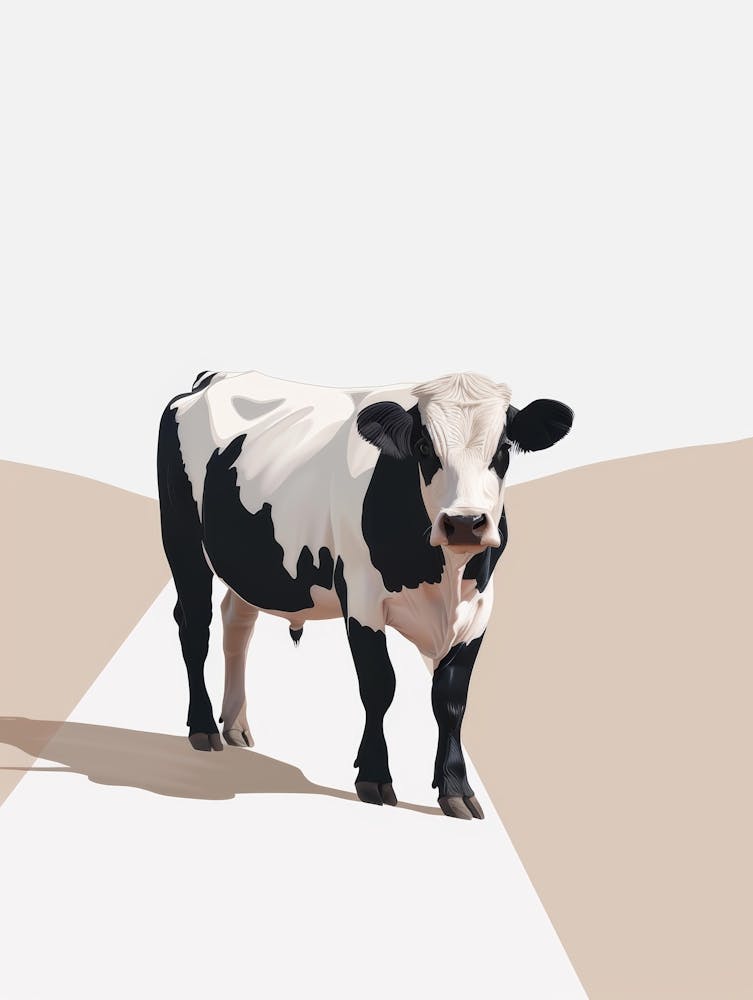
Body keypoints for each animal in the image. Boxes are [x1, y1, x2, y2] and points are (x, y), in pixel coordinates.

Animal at [157, 370, 573, 819]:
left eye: (503, 448)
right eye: (424, 447)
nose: (465, 523)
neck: (445, 577)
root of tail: (214, 377)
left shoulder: (478, 611)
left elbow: (451, 700)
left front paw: (455, 789)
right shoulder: (361, 599)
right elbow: (379, 686)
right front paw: (374, 777)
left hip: (249, 564)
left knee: (237, 623)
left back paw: (235, 724)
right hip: (182, 540)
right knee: (194, 626)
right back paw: (203, 729)